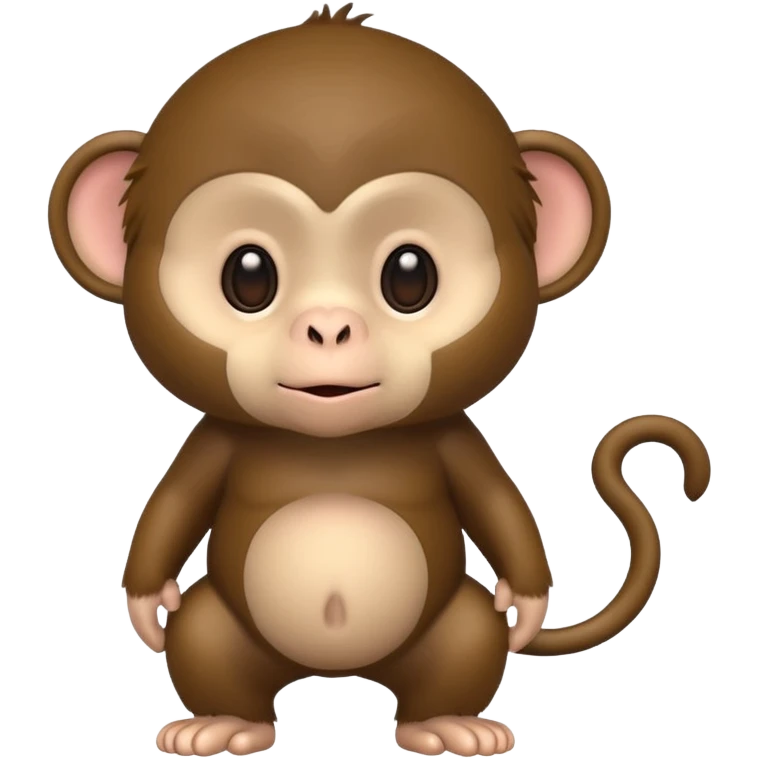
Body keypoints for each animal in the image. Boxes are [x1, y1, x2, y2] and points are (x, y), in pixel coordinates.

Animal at [46, 3, 712, 757]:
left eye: (409, 275)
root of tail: (337, 671)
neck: (336, 443)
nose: (329, 327)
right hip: (222, 625)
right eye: (248, 276)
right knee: (206, 641)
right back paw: (224, 722)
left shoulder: (452, 437)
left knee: (466, 645)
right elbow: (174, 504)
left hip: (454, 627)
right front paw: (145, 605)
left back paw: (445, 724)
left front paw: (526, 602)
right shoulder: (216, 440)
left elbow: (497, 504)